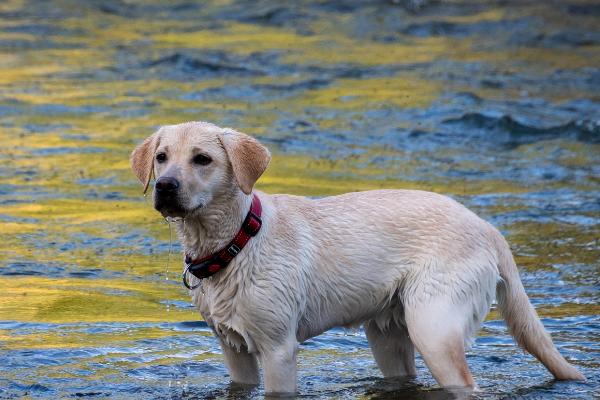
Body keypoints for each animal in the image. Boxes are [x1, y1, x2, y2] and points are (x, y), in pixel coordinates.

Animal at [130, 121, 580, 394]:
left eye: (202, 159)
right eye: (162, 157)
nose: (165, 186)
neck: (237, 241)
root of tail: (486, 226)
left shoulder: (278, 349)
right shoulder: (234, 350)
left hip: (434, 328)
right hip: (389, 335)